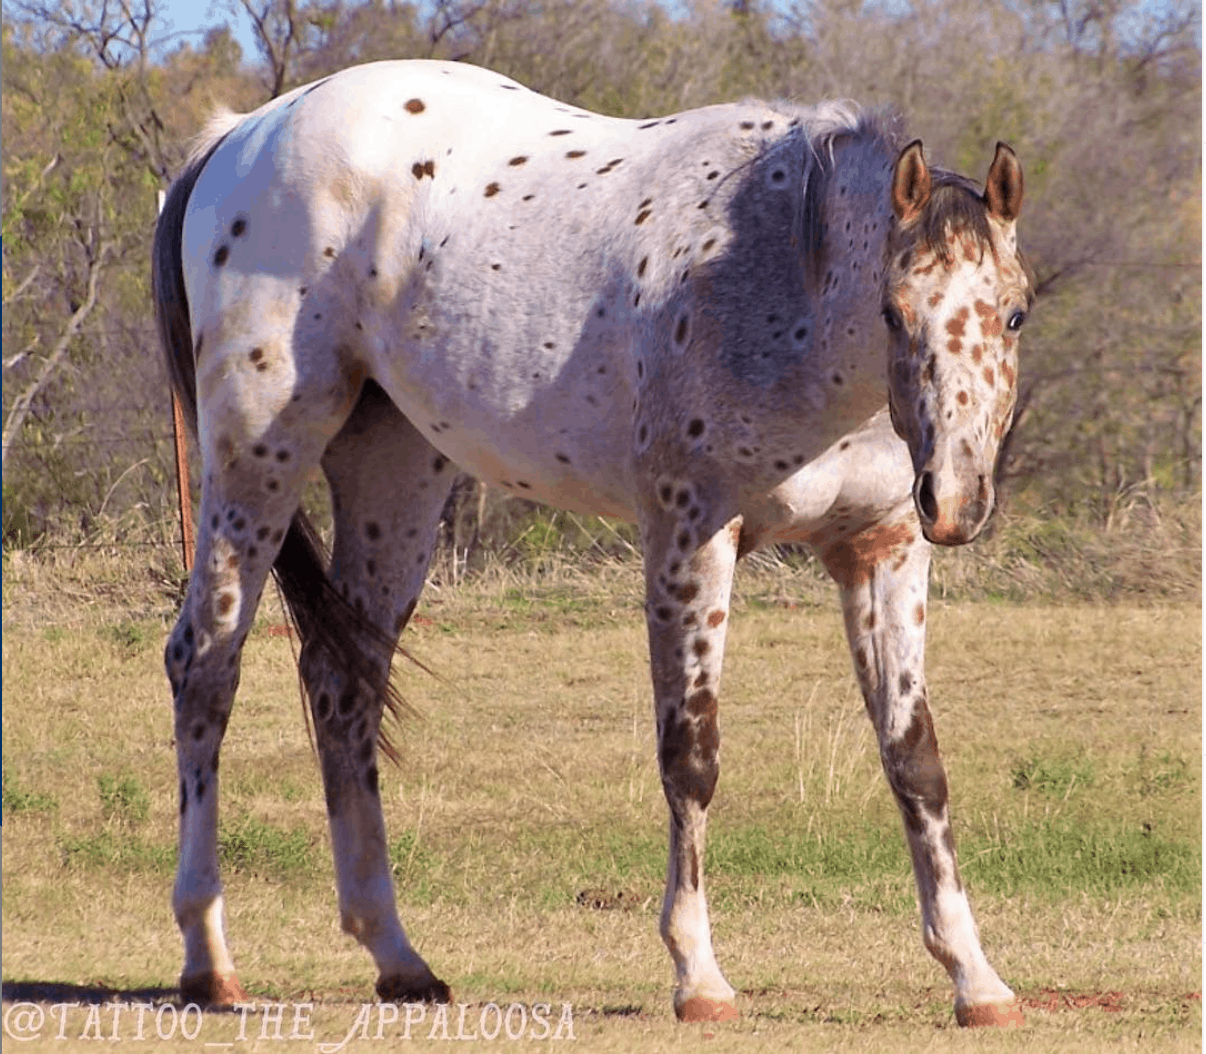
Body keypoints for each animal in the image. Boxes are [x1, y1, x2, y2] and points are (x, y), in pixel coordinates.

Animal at [150, 55, 1032, 1017]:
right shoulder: (690, 535)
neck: (783, 283)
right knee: (206, 664)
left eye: (1015, 313)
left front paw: (975, 975)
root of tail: (240, 135)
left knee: (343, 685)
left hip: (395, 473)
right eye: (893, 311)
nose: (955, 498)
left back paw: (398, 956)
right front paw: (698, 974)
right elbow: (691, 754)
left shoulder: (881, 551)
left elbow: (915, 758)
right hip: (257, 456)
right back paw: (206, 956)